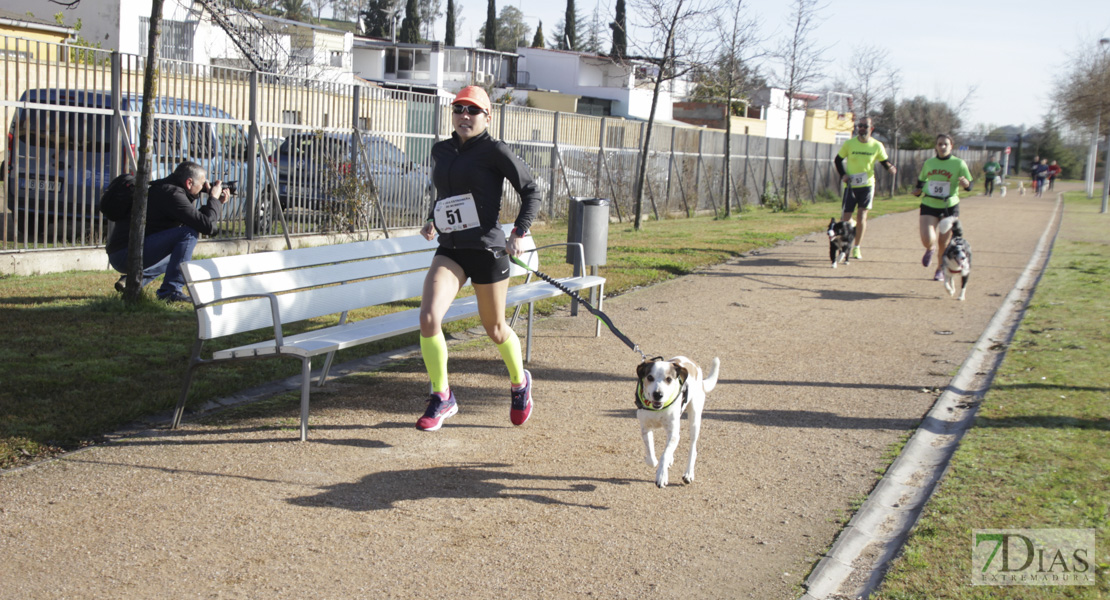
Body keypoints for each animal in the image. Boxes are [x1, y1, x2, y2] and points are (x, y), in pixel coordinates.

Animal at [634, 354, 719, 485]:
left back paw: (688, 473)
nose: (658, 394)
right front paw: (653, 461)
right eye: (650, 377)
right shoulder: (645, 428)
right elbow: (651, 455)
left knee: (692, 448)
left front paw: (661, 476)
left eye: (669, 379)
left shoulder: (673, 432)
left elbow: (664, 455)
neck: (658, 409)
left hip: (695, 419)